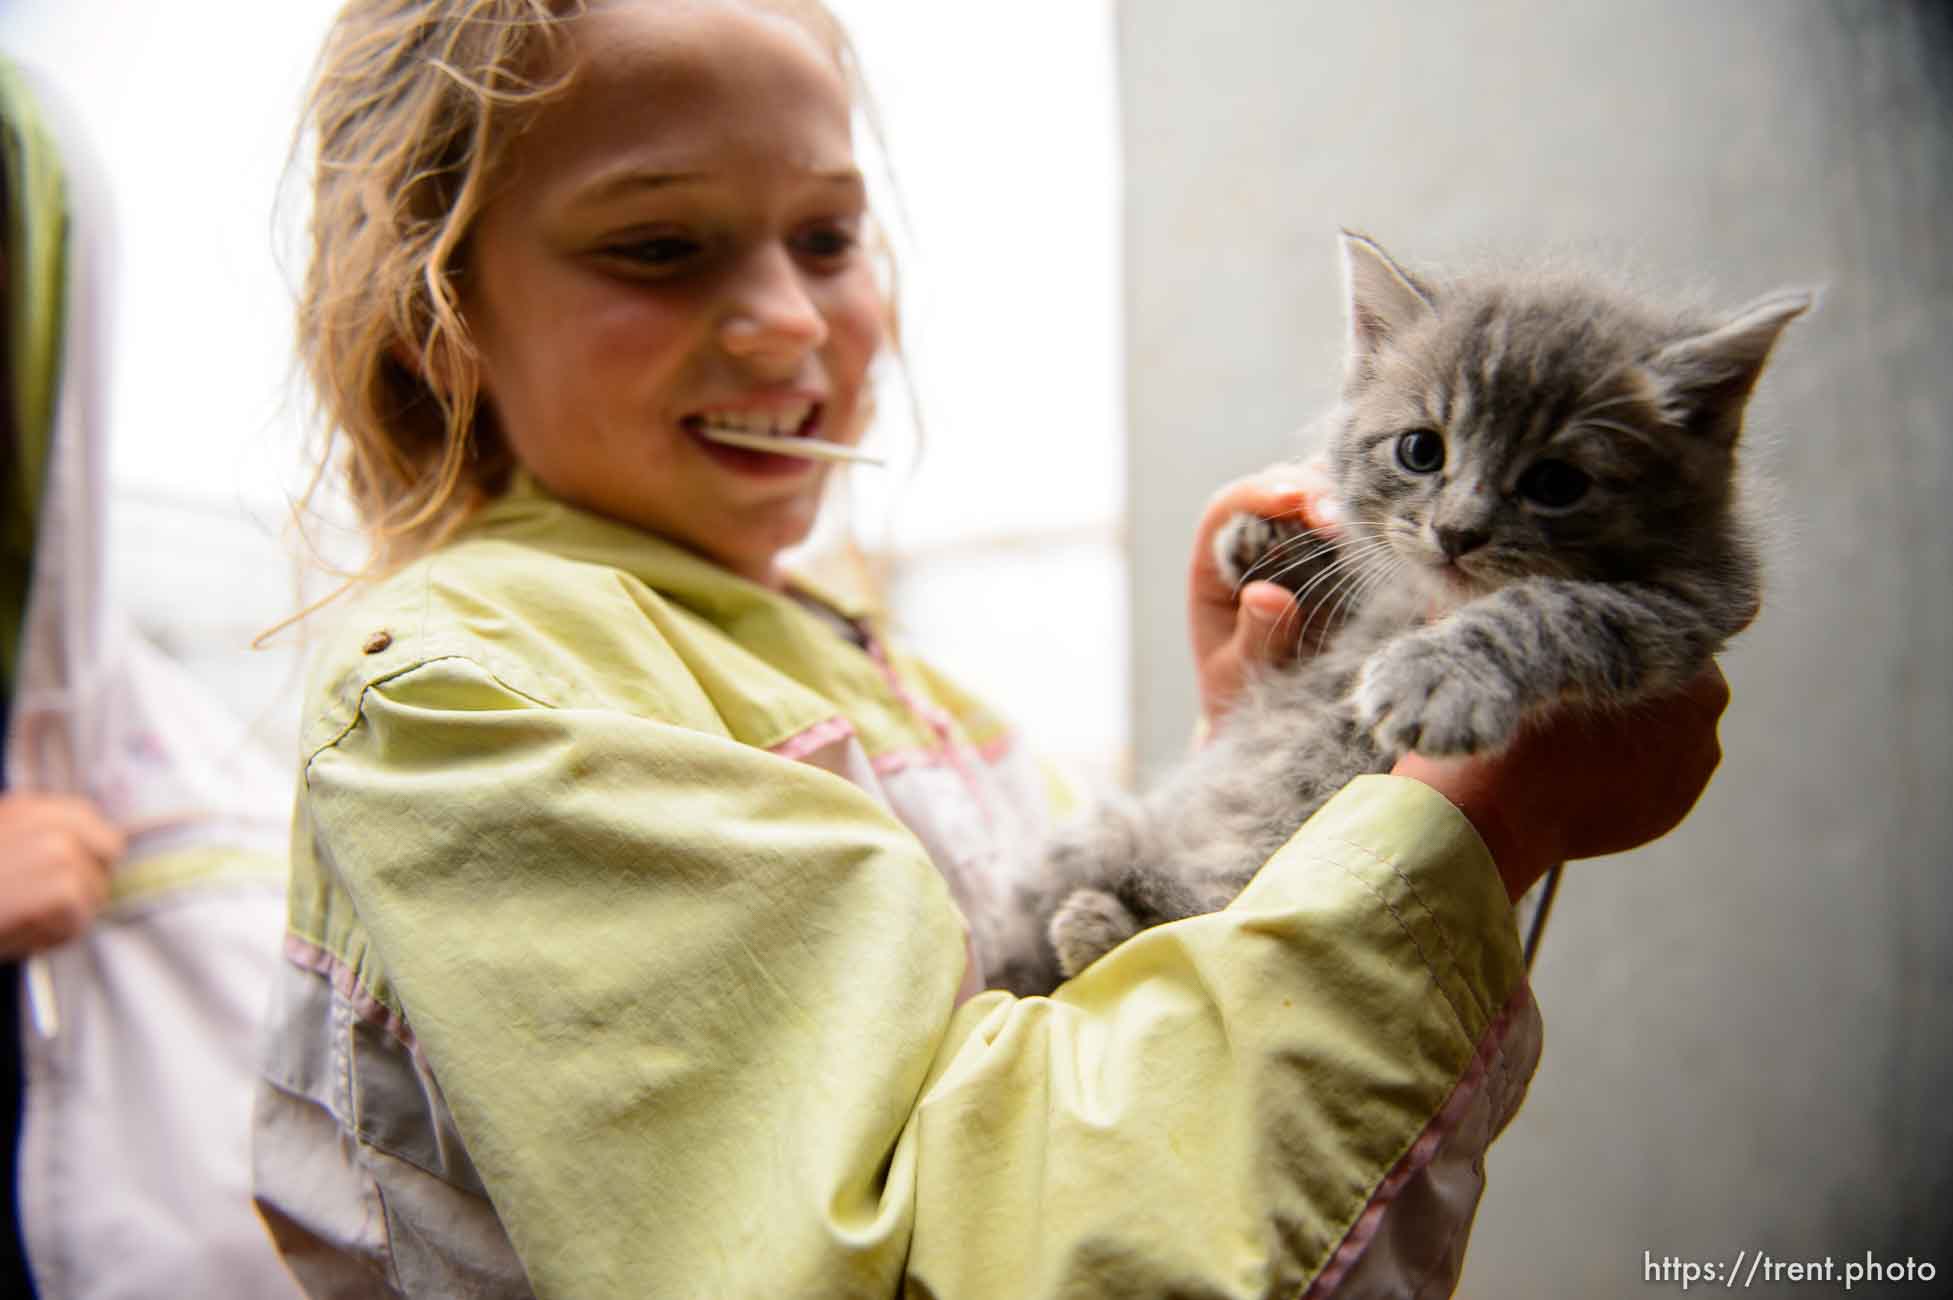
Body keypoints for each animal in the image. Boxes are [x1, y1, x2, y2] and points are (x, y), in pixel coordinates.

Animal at [992, 233, 1812, 995]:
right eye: (1421, 450)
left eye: (1556, 483)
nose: (1456, 532)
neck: (1434, 602)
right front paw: (1271, 542)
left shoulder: (1685, 607)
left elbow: (1542, 606)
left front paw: (1435, 678)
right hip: (1092, 837)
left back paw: (1107, 919)